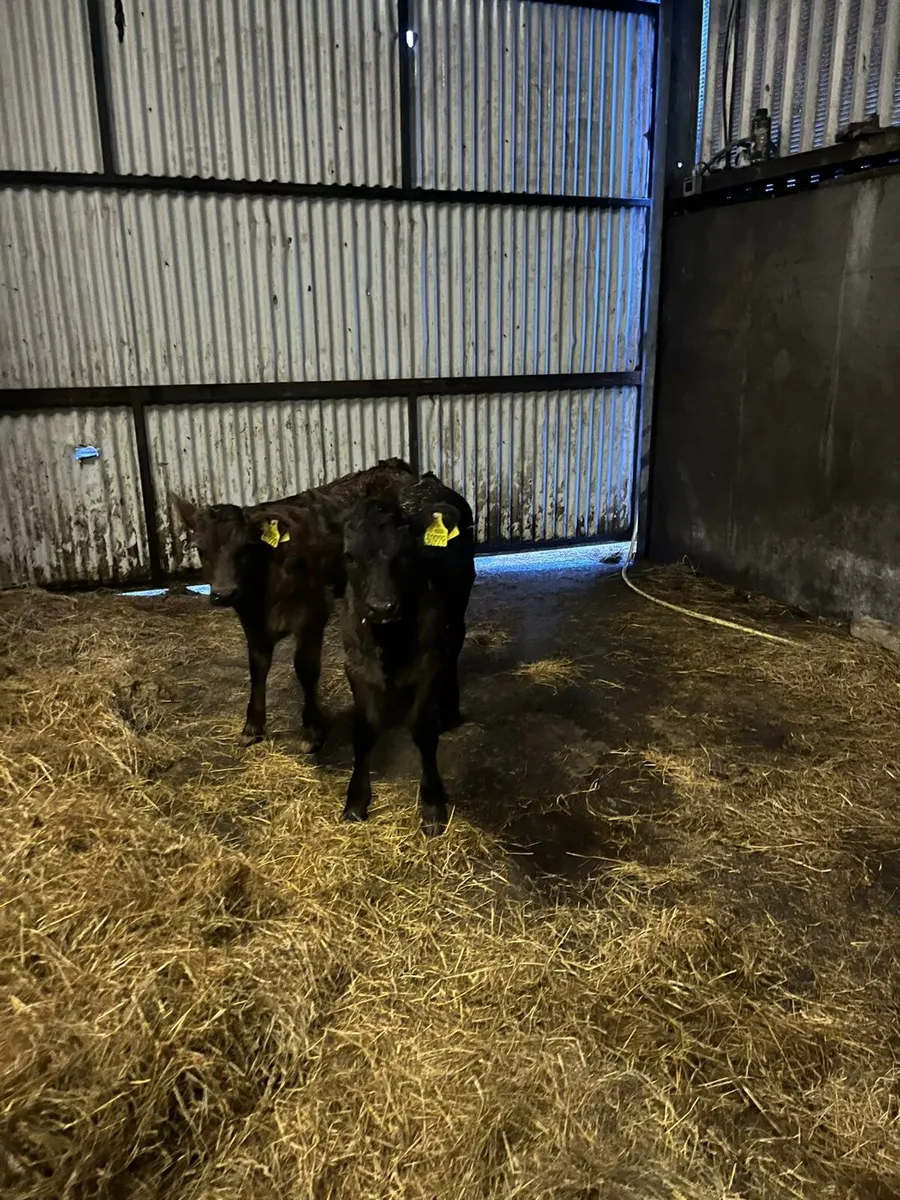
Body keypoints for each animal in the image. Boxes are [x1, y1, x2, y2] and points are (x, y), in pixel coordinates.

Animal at [172, 459, 416, 751]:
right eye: (199, 548)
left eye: (246, 547)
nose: (224, 593)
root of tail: (390, 465)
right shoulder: (251, 620)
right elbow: (257, 667)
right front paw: (252, 726)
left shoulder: (313, 612)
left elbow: (305, 668)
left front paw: (312, 730)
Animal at [338, 474, 476, 836]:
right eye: (349, 556)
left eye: (405, 554)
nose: (382, 607)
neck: (390, 639)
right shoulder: (356, 665)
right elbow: (364, 729)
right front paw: (355, 800)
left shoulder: (429, 663)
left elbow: (423, 729)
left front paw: (432, 803)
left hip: (457, 615)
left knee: (454, 652)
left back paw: (449, 711)